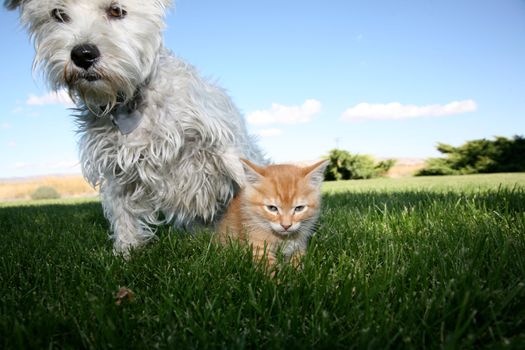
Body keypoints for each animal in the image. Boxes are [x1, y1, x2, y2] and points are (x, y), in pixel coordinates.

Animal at [5, 1, 262, 256]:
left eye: (116, 10)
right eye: (58, 14)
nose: (82, 54)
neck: (130, 102)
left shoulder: (220, 142)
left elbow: (243, 178)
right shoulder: (115, 166)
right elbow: (122, 211)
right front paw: (126, 249)